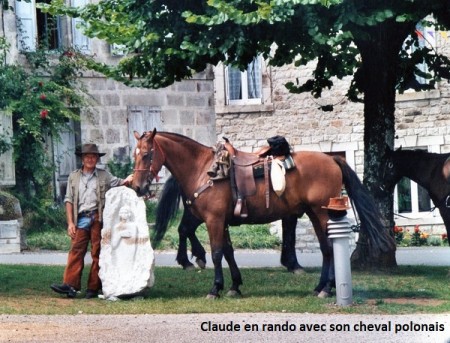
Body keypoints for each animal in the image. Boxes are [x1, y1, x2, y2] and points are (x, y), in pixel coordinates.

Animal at [132, 129, 392, 298]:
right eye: (135, 155)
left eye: (146, 154)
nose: (137, 186)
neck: (203, 170)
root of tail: (332, 159)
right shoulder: (222, 221)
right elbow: (228, 252)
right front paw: (234, 286)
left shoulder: (214, 220)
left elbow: (217, 253)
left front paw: (215, 288)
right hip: (315, 214)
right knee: (327, 249)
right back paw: (321, 287)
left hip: (321, 213)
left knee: (329, 247)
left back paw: (327, 288)